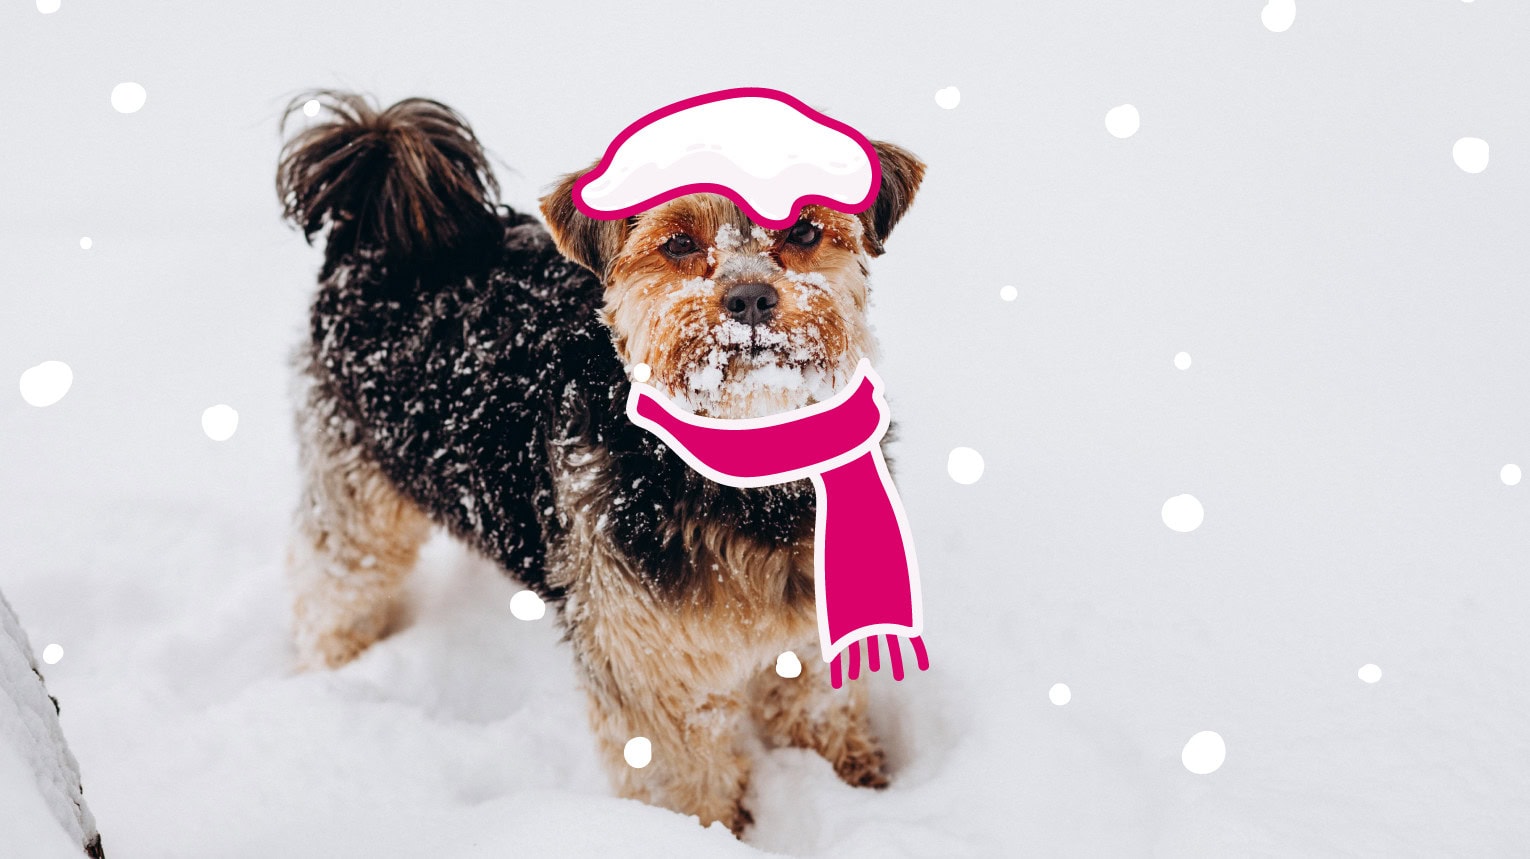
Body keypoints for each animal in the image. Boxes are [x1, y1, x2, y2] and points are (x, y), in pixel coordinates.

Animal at [275, 88, 918, 832]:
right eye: (679, 242)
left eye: (806, 232)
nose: (751, 298)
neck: (741, 461)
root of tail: (380, 229)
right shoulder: (645, 659)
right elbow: (685, 773)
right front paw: (703, 836)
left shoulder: (811, 614)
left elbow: (819, 705)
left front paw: (858, 783)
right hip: (355, 489)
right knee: (334, 588)